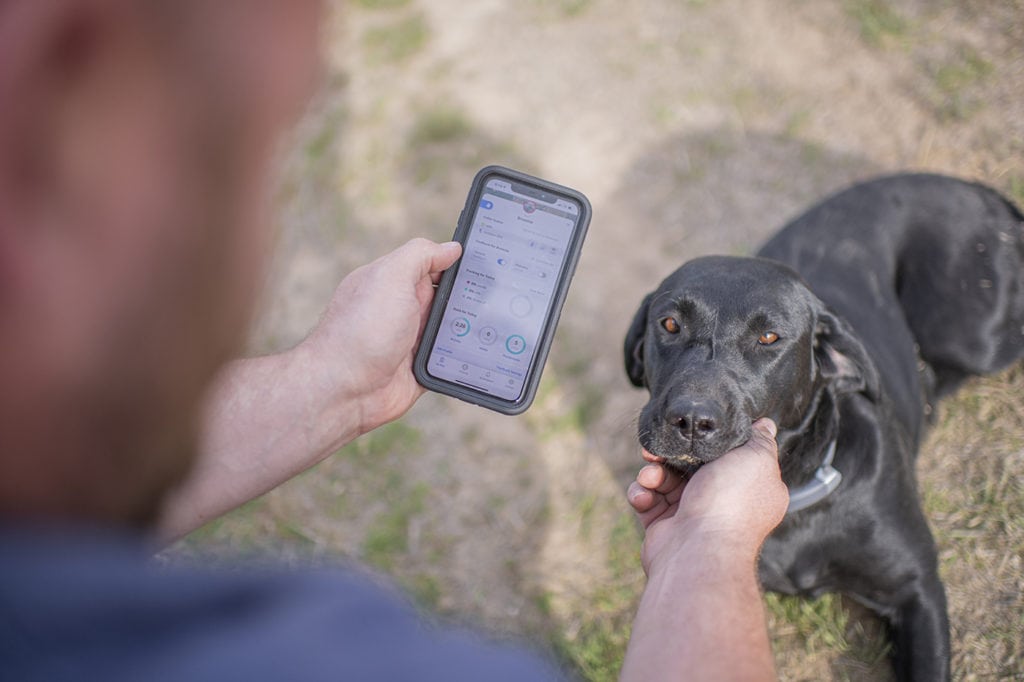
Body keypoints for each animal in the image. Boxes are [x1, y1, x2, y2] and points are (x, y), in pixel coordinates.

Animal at [622, 173, 1024, 675]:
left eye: (768, 337)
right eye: (670, 324)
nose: (691, 420)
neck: (796, 494)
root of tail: (972, 187)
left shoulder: (917, 589)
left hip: (974, 336)